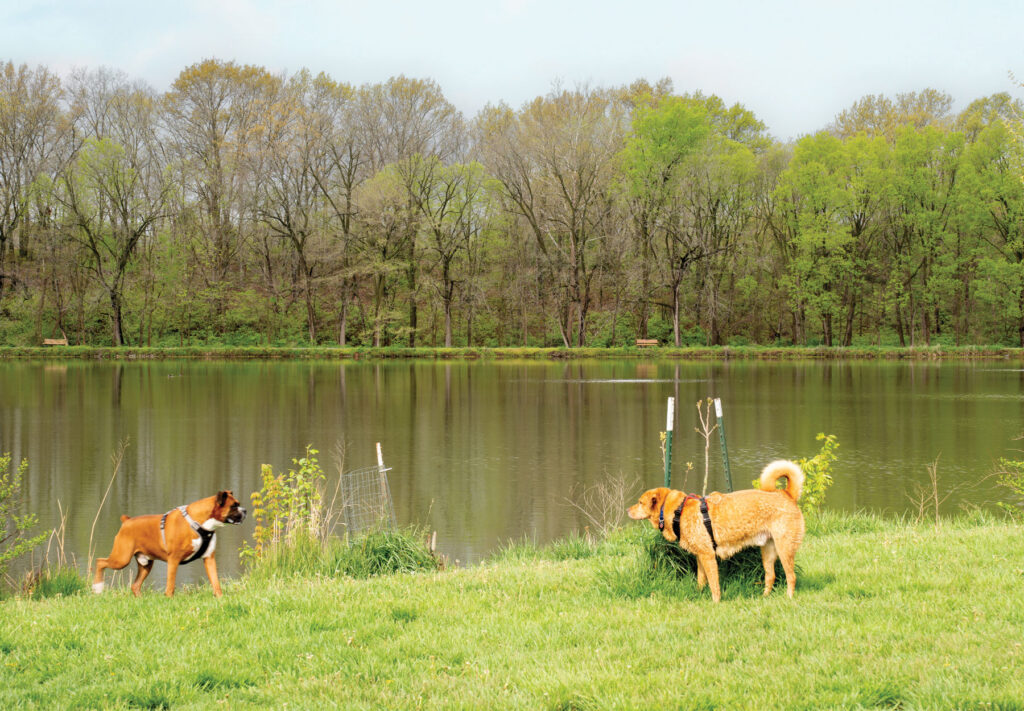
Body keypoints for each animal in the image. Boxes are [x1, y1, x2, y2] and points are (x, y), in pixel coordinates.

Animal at [95, 489, 247, 594]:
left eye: (238, 504)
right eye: (234, 506)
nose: (245, 510)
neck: (199, 523)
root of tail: (127, 521)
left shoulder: (209, 558)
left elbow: (216, 583)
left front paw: (220, 598)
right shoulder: (174, 560)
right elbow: (170, 585)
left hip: (146, 564)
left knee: (135, 585)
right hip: (121, 559)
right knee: (100, 562)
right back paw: (97, 588)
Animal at [626, 463, 802, 602]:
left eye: (640, 502)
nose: (627, 510)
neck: (678, 511)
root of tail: (787, 494)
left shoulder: (708, 555)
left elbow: (713, 583)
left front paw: (716, 602)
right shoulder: (700, 556)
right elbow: (701, 579)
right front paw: (698, 594)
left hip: (784, 548)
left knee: (791, 577)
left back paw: (789, 598)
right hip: (768, 551)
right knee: (770, 576)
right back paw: (764, 597)